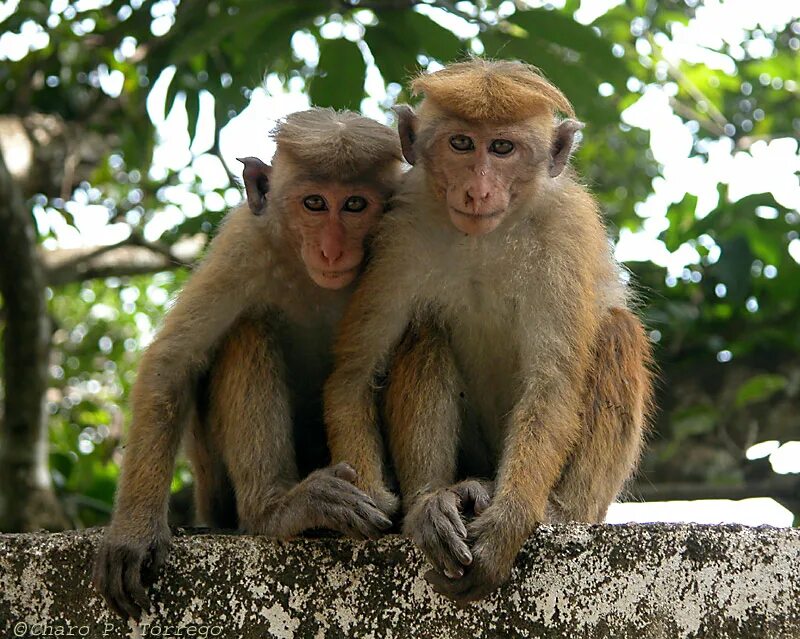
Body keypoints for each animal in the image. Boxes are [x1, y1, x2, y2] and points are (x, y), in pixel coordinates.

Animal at [94, 107, 406, 616]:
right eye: (315, 203)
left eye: (355, 205)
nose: (332, 249)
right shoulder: (244, 243)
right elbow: (172, 362)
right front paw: (134, 532)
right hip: (218, 491)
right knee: (248, 328)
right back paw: (278, 508)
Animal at [322, 57, 652, 604]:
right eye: (461, 143)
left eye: (502, 148)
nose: (478, 189)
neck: (483, 239)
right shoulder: (398, 233)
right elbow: (353, 374)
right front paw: (369, 505)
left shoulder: (565, 232)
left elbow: (552, 383)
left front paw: (508, 524)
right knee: (424, 329)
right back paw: (438, 500)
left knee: (617, 332)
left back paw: (556, 510)